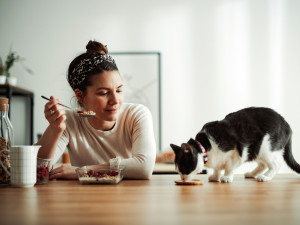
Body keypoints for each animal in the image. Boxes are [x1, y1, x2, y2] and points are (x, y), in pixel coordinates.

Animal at [170, 107, 298, 183]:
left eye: (183, 169)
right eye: (177, 171)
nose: (182, 179)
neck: (207, 147)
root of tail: (287, 125)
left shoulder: (236, 154)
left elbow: (229, 167)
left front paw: (226, 177)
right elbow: (217, 168)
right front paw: (215, 176)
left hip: (266, 148)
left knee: (276, 164)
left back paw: (266, 176)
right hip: (256, 151)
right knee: (263, 165)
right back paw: (252, 174)